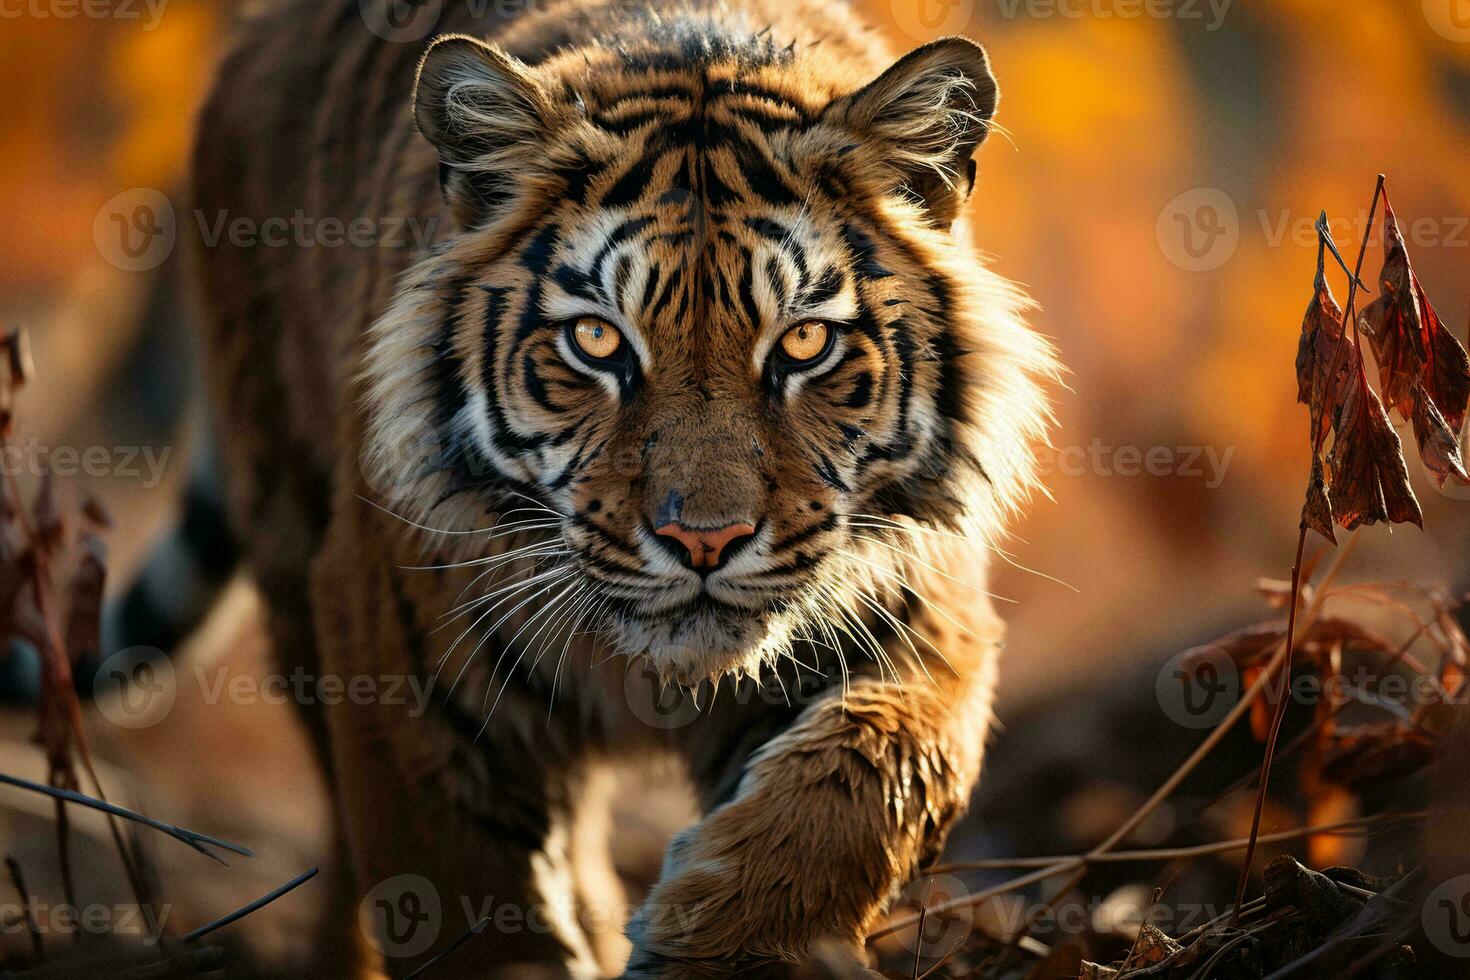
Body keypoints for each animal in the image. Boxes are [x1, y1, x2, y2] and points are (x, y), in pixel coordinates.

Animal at [186, 0, 1058, 975]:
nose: (705, 541)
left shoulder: (921, 608)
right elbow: (459, 897)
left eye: (804, 344)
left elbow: (866, 789)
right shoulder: (396, 646)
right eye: (598, 342)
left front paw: (712, 939)